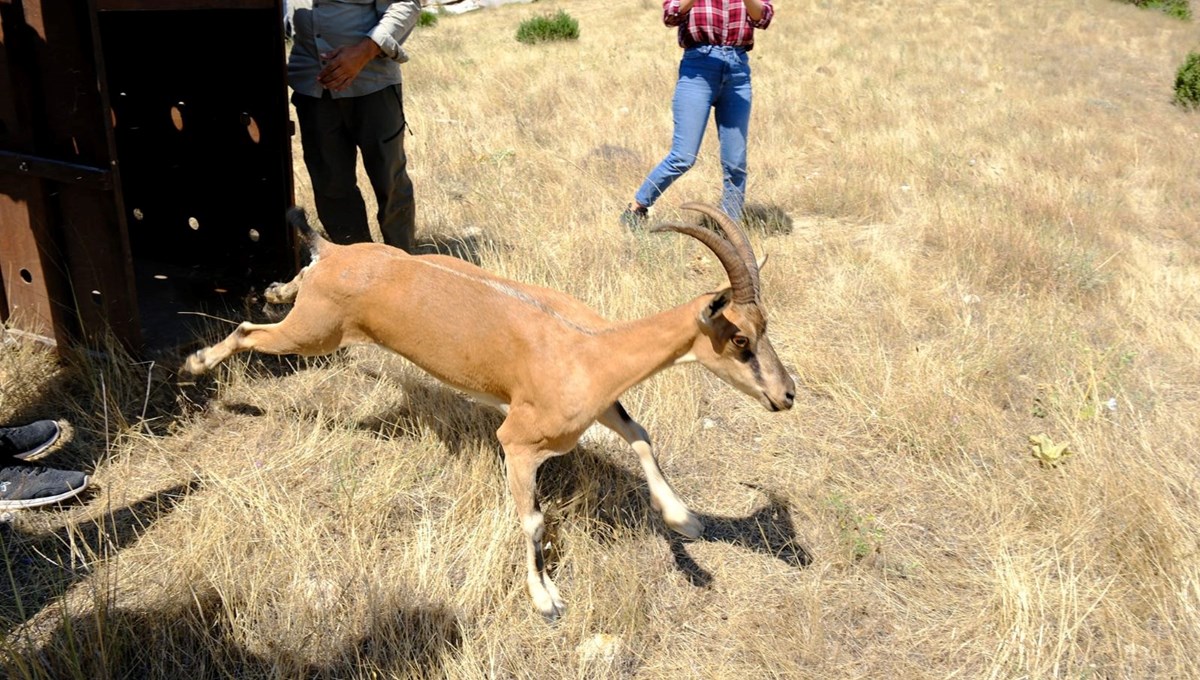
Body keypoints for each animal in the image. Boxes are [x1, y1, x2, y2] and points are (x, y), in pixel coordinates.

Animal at [182, 201, 792, 618]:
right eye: (740, 338)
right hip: (313, 336)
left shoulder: (599, 408)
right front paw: (546, 601)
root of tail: (336, 255)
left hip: (317, 318)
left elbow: (641, 435)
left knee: (282, 295)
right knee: (247, 331)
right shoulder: (517, 442)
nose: (786, 395)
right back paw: (196, 363)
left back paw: (273, 291)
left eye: (766, 326)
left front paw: (686, 521)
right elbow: (534, 518)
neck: (590, 349)